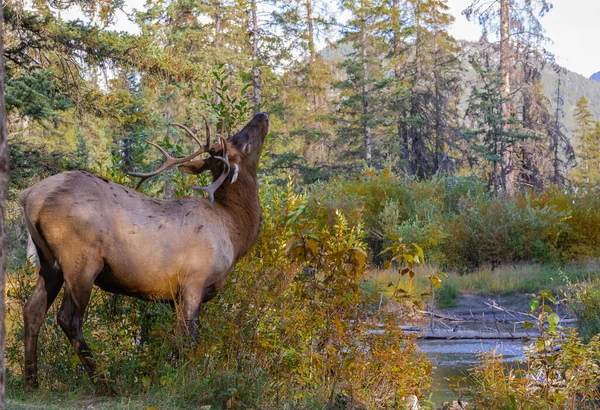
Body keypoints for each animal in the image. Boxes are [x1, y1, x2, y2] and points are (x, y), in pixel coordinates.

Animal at [18, 112, 270, 388]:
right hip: (81, 260)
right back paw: (104, 383)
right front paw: (187, 381)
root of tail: (28, 196)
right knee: (68, 318)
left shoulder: (174, 296)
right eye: (242, 141)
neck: (233, 231)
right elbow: (191, 339)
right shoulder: (194, 280)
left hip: (49, 263)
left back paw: (31, 381)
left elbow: (176, 340)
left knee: (32, 310)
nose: (261, 115)